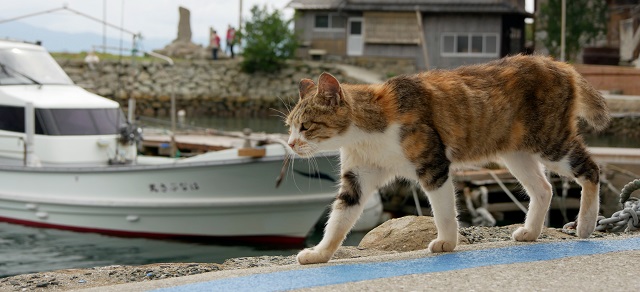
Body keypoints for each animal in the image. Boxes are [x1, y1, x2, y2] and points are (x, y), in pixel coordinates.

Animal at [284, 54, 608, 264]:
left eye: (306, 126)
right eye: (289, 126)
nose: (290, 144)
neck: (368, 134)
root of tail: (560, 64)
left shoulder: (433, 165)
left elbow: (442, 210)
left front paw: (447, 242)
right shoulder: (357, 180)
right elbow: (339, 219)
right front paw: (320, 253)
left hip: (551, 143)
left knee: (592, 170)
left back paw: (586, 224)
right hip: (516, 153)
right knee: (544, 188)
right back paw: (530, 231)